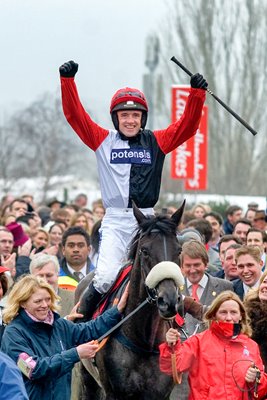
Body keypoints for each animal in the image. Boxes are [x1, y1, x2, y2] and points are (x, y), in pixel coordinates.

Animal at [77, 203, 186, 400]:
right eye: (145, 251)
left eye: (179, 250)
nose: (169, 301)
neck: (143, 341)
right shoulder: (114, 392)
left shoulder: (160, 394)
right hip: (87, 376)